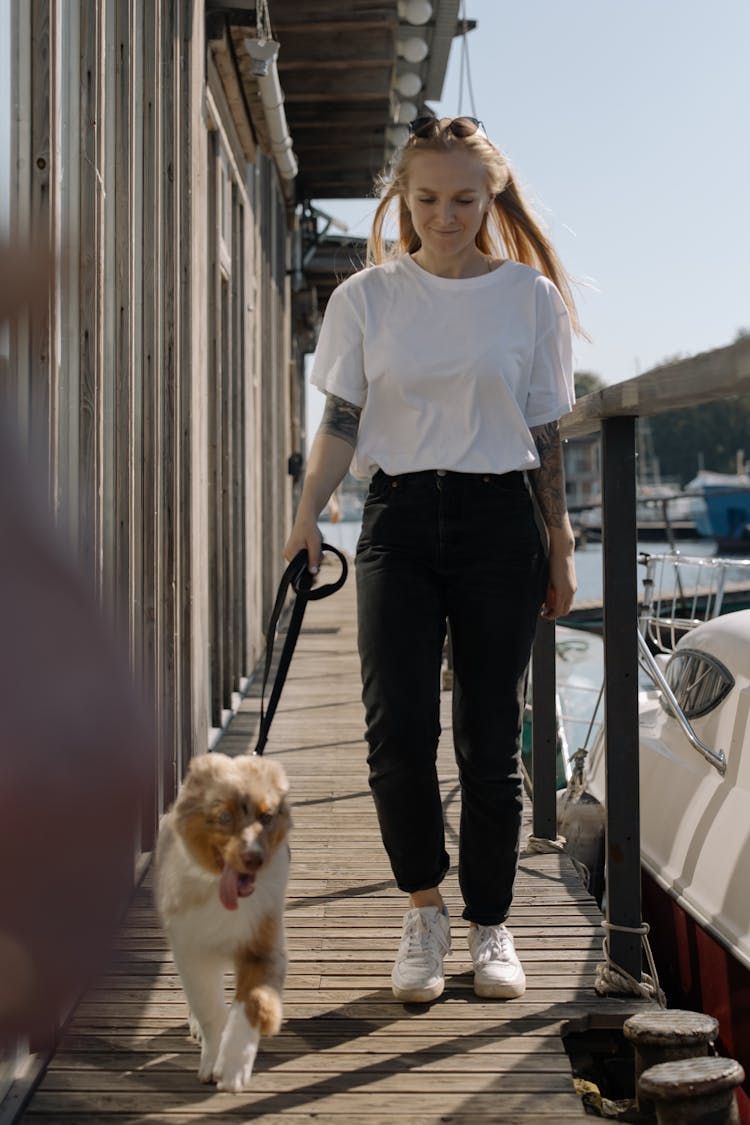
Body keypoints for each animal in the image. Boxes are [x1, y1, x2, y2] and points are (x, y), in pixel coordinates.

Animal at [155, 751, 290, 1093]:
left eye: (266, 817)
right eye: (224, 816)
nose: (254, 858)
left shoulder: (263, 941)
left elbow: (253, 1002)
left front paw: (233, 1069)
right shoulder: (191, 950)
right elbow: (210, 1010)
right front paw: (213, 1062)